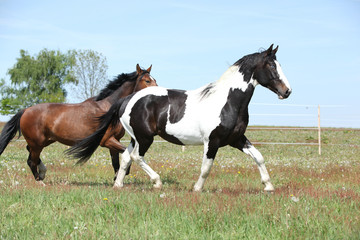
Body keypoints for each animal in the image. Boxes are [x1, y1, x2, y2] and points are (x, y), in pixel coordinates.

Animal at [0, 64, 158, 184]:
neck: (109, 107)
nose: (158, 92)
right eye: (147, 81)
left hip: (45, 141)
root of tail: (25, 110)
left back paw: (43, 173)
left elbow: (116, 163)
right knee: (31, 161)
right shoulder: (106, 140)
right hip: (37, 142)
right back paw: (40, 181)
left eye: (154, 79)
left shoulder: (114, 141)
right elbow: (126, 154)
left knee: (30, 154)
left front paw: (117, 178)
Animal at [68, 44, 292, 192]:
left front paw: (268, 186)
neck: (227, 101)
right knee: (136, 157)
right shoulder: (212, 141)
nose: (287, 91)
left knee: (125, 157)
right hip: (145, 138)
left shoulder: (236, 139)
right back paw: (157, 182)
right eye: (272, 66)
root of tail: (127, 99)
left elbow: (259, 157)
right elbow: (206, 168)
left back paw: (118, 185)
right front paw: (197, 189)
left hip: (135, 137)